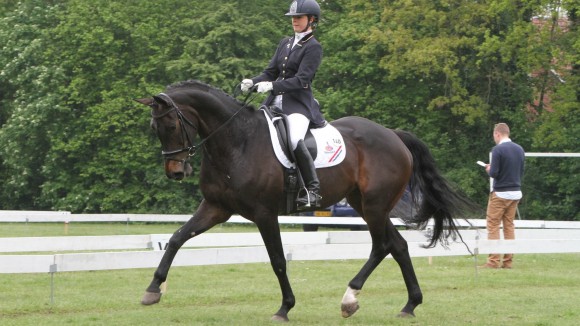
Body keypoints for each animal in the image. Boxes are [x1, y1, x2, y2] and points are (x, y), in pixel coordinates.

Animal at [135, 80, 476, 322]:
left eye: (170, 125)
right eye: (154, 128)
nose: (175, 171)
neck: (236, 142)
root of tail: (393, 134)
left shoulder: (264, 213)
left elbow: (278, 260)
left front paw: (285, 308)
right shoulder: (217, 208)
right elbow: (177, 238)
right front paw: (152, 290)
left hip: (375, 206)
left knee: (382, 246)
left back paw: (349, 299)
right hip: (365, 205)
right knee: (398, 246)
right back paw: (409, 304)